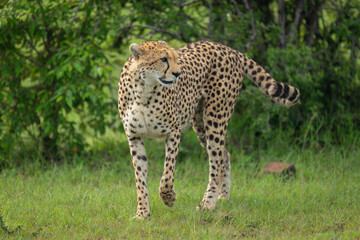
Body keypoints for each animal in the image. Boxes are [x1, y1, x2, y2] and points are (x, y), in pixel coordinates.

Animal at [116, 39, 300, 219]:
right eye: (163, 59)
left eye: (176, 59)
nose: (178, 74)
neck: (143, 90)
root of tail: (227, 48)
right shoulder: (134, 136)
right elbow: (140, 178)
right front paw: (142, 213)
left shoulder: (174, 132)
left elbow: (167, 174)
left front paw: (168, 198)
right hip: (200, 124)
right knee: (225, 155)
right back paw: (223, 196)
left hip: (216, 117)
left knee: (215, 163)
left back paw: (208, 203)